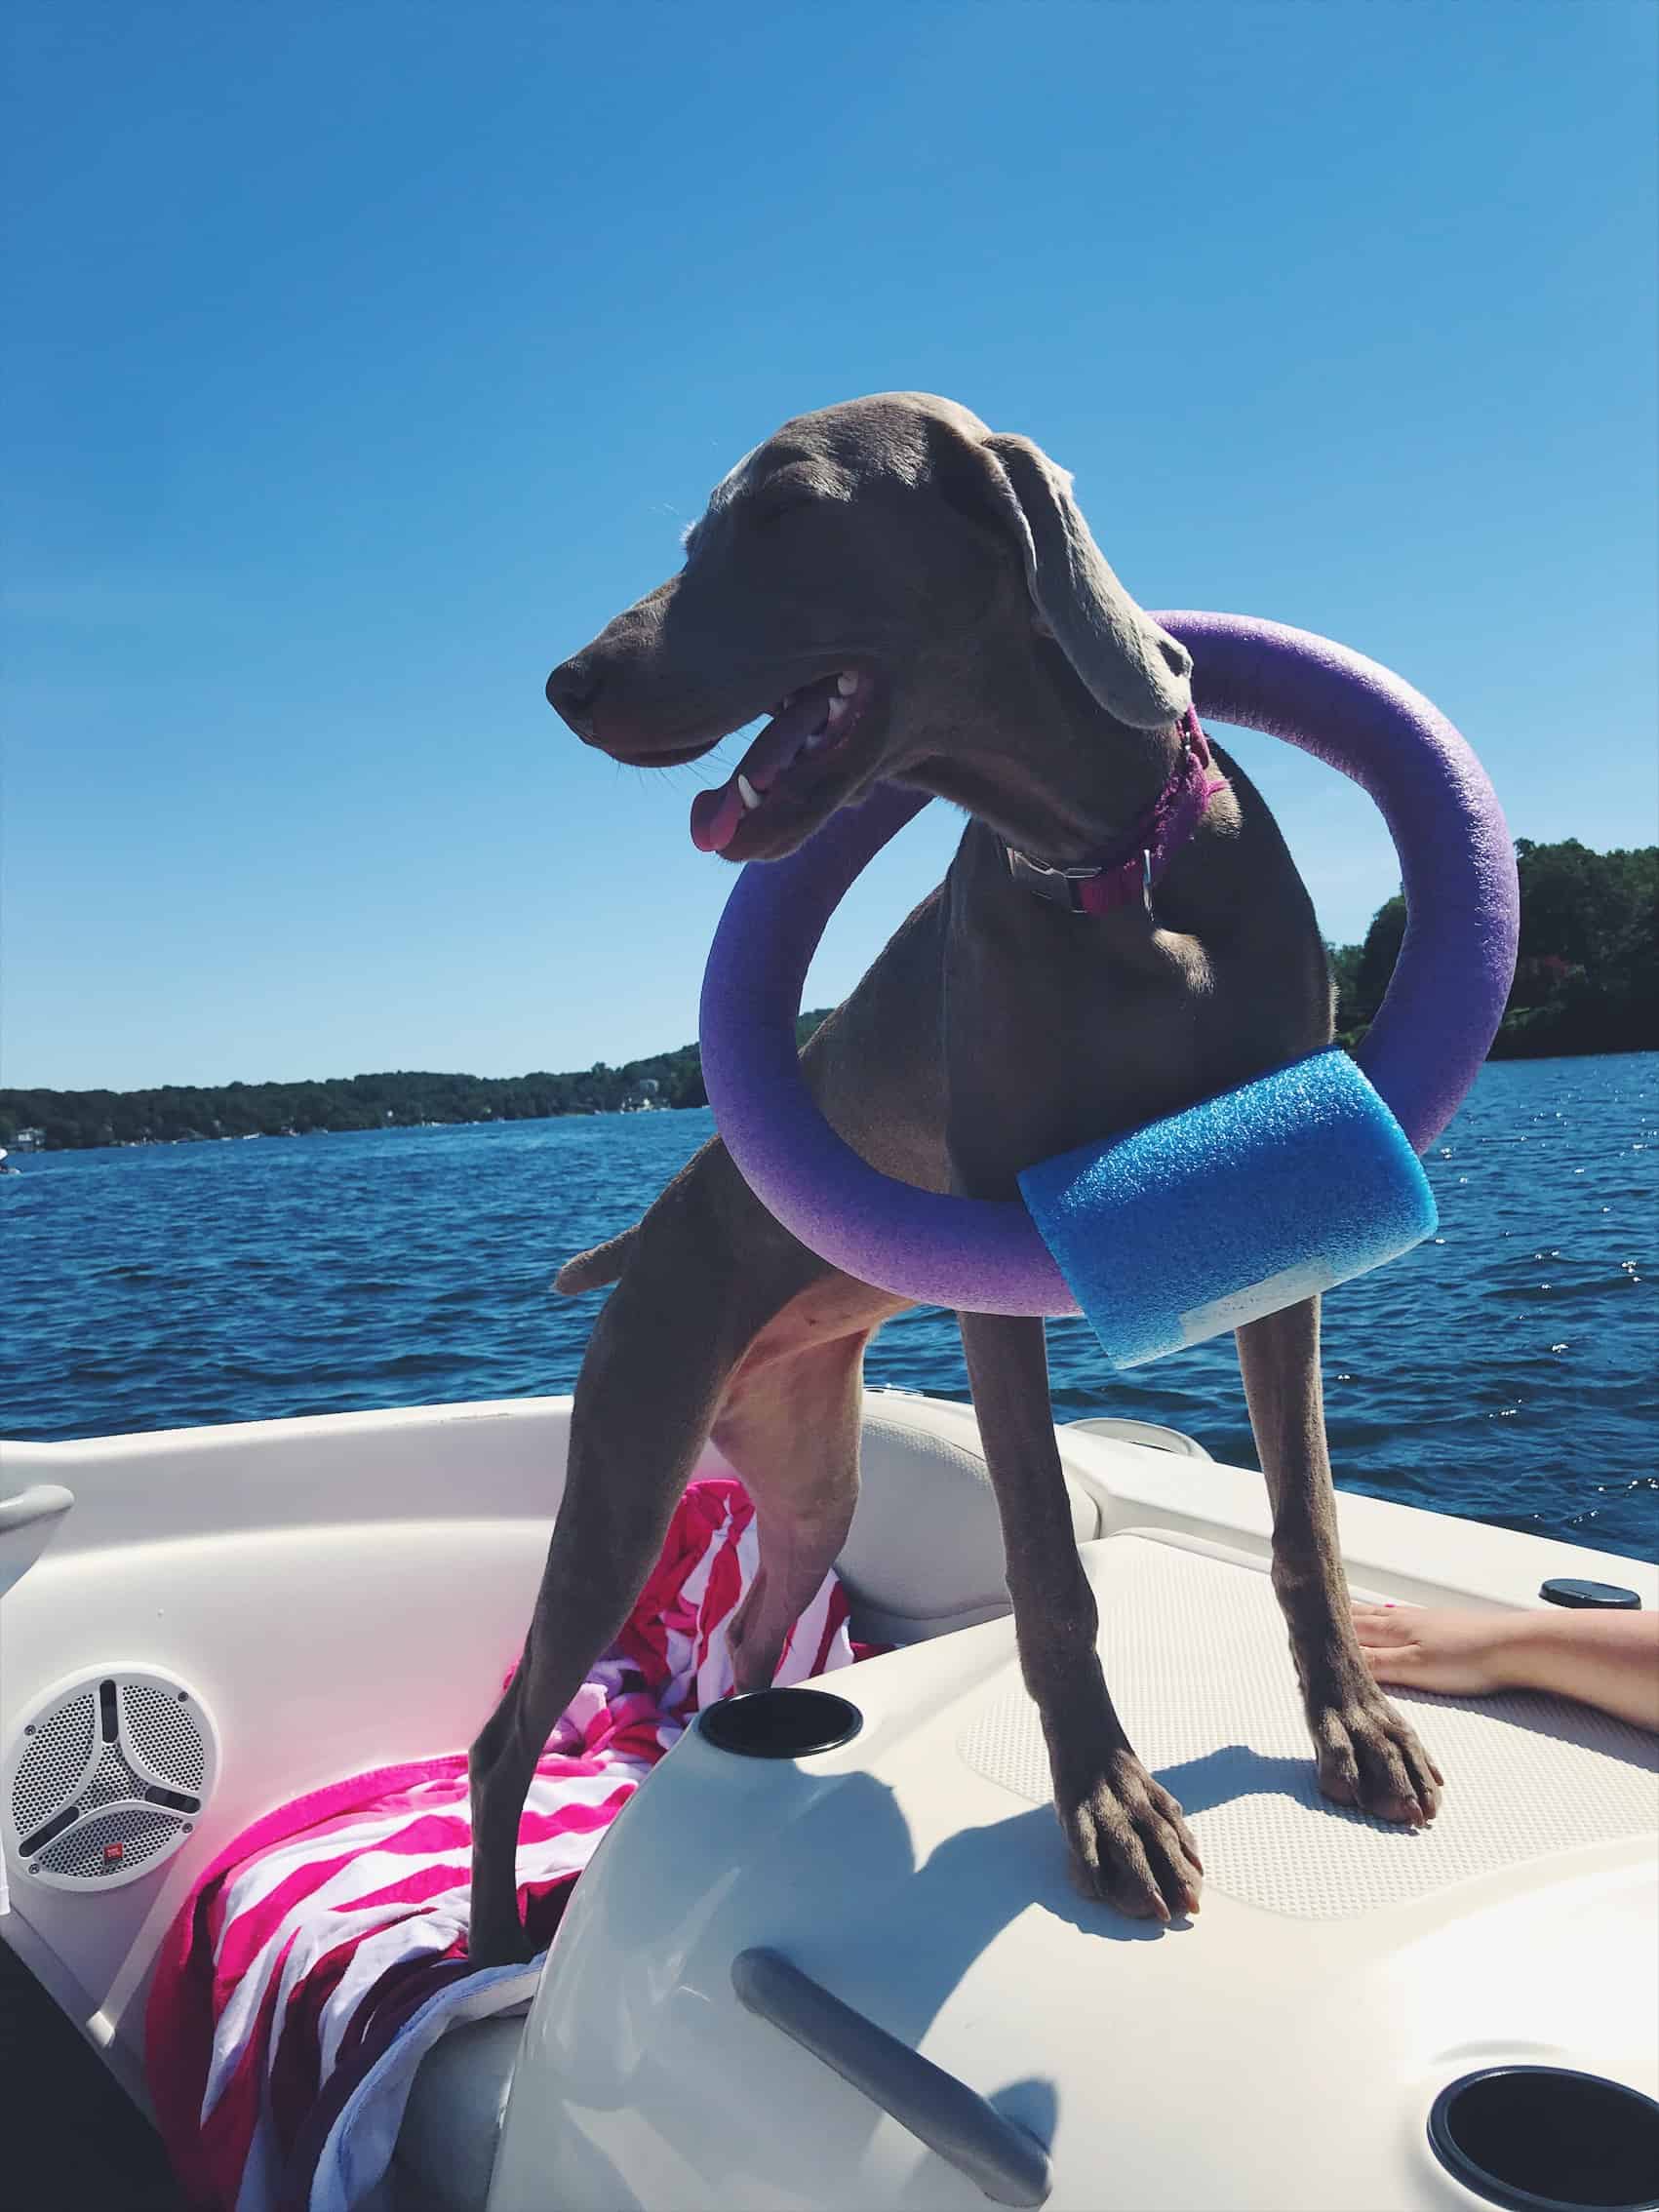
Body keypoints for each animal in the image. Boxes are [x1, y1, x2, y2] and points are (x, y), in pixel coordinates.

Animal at [468, 393, 1442, 1973]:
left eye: (785, 512)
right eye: (696, 531)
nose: (566, 683)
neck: (1114, 868)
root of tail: (650, 1237)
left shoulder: (1282, 1205)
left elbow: (1305, 1514)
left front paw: (1356, 1728)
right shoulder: (1000, 1256)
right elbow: (1046, 1569)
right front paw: (1109, 1808)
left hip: (810, 1479)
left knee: (746, 1643)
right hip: (626, 1470)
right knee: (508, 1739)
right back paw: (494, 1945)